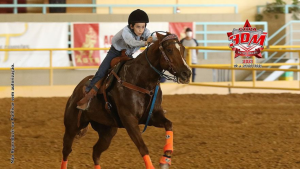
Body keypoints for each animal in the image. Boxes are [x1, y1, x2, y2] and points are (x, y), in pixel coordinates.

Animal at [61, 32, 192, 169]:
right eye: (169, 50)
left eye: (182, 49)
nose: (187, 73)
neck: (140, 80)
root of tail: (76, 91)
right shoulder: (129, 120)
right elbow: (143, 148)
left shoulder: (152, 116)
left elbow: (169, 124)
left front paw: (165, 159)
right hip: (71, 127)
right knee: (66, 150)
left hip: (107, 131)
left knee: (96, 152)